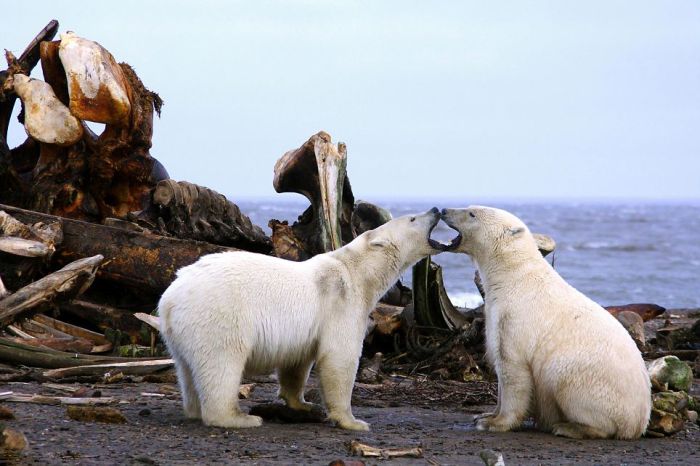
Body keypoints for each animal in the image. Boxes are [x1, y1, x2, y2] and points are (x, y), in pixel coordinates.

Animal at [159, 208, 446, 430]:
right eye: (412, 218)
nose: (436, 209)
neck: (358, 272)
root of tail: (170, 298)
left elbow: (296, 362)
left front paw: (302, 404)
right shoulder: (341, 302)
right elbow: (339, 357)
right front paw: (353, 422)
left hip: (183, 330)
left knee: (187, 369)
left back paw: (195, 409)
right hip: (219, 315)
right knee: (222, 363)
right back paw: (240, 418)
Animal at [442, 206, 652, 438]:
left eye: (472, 213)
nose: (444, 210)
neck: (513, 277)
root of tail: (638, 423)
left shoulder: (515, 316)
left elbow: (512, 368)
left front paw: (495, 423)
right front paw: (484, 415)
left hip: (591, 382)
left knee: (564, 380)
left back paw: (568, 427)